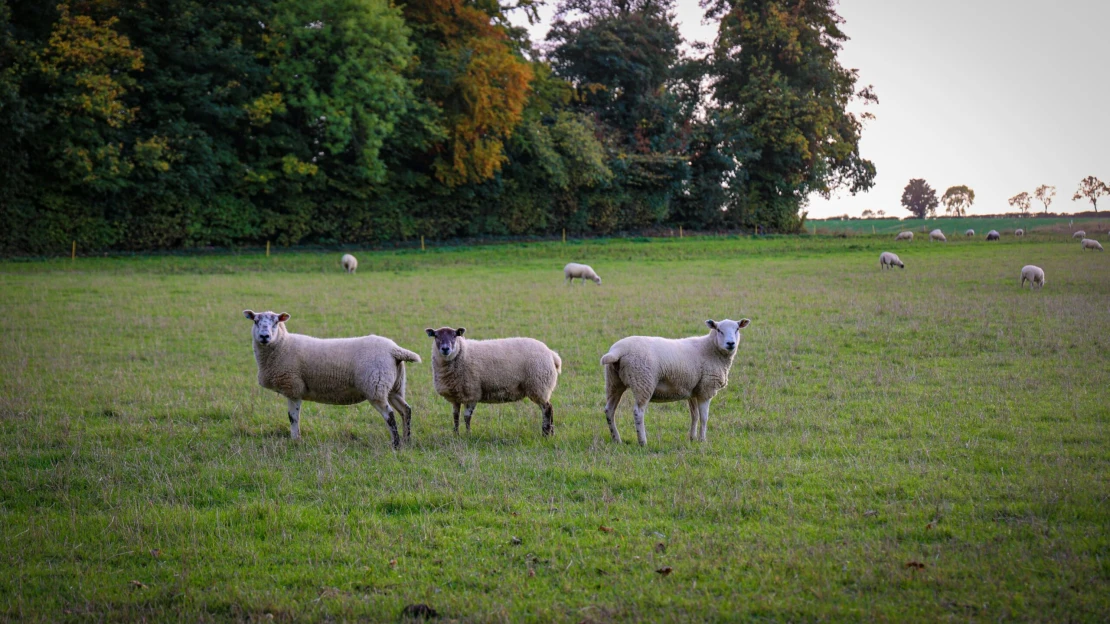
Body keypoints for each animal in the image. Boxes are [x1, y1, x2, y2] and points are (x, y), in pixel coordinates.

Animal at [243, 310, 419, 446]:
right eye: (256, 321)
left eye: (275, 322)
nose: (264, 336)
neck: (283, 345)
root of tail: (394, 350)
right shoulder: (293, 389)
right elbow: (293, 418)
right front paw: (296, 440)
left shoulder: (293, 387)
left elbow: (293, 418)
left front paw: (295, 441)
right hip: (394, 387)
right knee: (406, 410)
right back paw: (407, 440)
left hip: (375, 387)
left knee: (390, 415)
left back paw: (396, 444)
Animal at [424, 328, 563, 435]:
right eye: (436, 336)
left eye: (454, 335)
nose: (445, 348)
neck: (462, 353)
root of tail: (552, 354)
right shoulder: (456, 396)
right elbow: (455, 416)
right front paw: (456, 434)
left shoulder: (472, 393)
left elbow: (467, 417)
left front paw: (468, 434)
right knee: (548, 408)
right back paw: (550, 433)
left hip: (539, 385)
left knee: (547, 409)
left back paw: (546, 433)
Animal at [599, 317, 754, 444]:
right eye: (719, 330)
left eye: (737, 329)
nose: (730, 343)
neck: (710, 349)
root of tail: (618, 351)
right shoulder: (706, 389)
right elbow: (704, 417)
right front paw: (703, 440)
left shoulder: (693, 390)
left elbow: (694, 415)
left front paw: (692, 438)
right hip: (643, 381)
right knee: (638, 412)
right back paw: (642, 441)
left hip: (613, 381)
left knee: (609, 410)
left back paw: (616, 439)